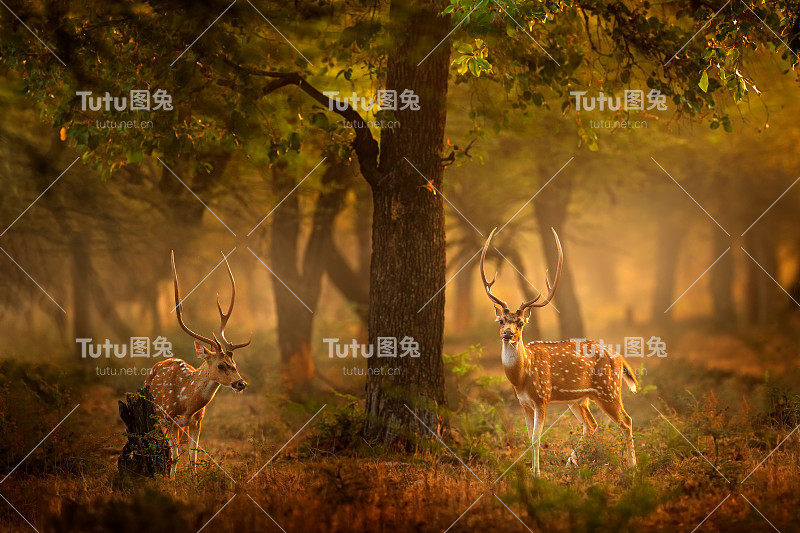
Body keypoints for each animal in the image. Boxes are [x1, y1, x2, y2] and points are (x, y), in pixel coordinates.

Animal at [143, 251, 250, 476]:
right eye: (220, 365)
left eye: (233, 362)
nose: (241, 383)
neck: (187, 403)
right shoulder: (170, 418)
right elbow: (174, 457)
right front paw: (172, 482)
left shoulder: (198, 421)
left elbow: (193, 457)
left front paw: (194, 480)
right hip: (155, 414)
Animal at [482, 227, 636, 476]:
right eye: (501, 321)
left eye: (520, 323)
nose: (507, 333)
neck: (521, 377)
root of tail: (620, 357)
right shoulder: (523, 403)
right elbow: (529, 438)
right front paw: (534, 471)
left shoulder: (541, 397)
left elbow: (536, 438)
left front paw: (536, 475)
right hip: (579, 398)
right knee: (591, 424)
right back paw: (571, 463)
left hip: (609, 390)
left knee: (626, 421)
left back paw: (632, 466)